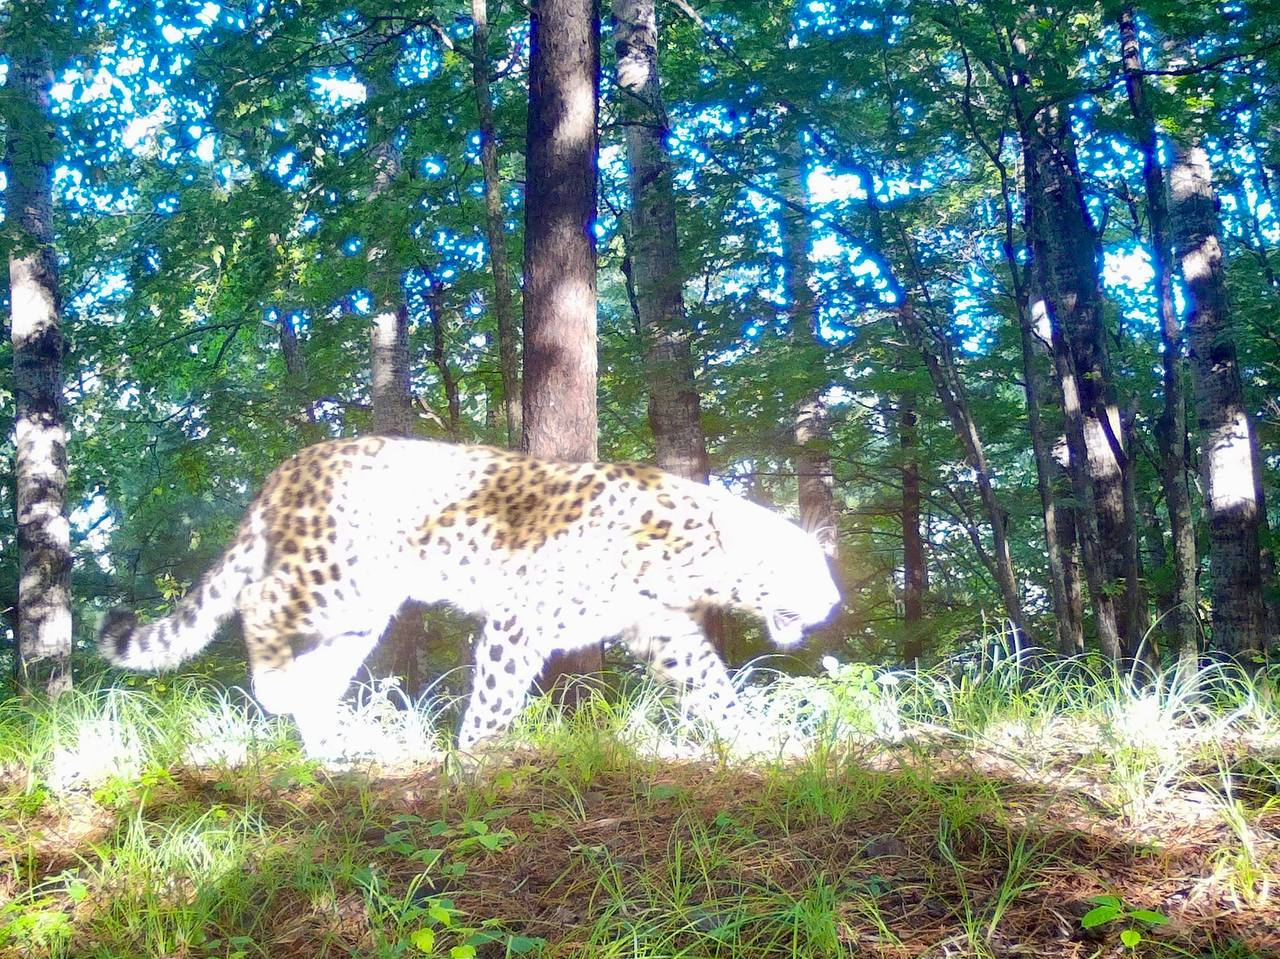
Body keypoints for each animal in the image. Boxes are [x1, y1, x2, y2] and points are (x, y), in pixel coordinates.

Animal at [97, 435, 839, 757]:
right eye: (805, 569)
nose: (835, 606)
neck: (686, 553)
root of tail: (290, 464)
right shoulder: (523, 616)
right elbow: (498, 693)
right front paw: (478, 758)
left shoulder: (662, 627)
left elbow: (713, 684)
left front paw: (762, 742)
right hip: (337, 573)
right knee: (261, 602)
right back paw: (283, 694)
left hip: (361, 611)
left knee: (319, 669)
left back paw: (335, 745)